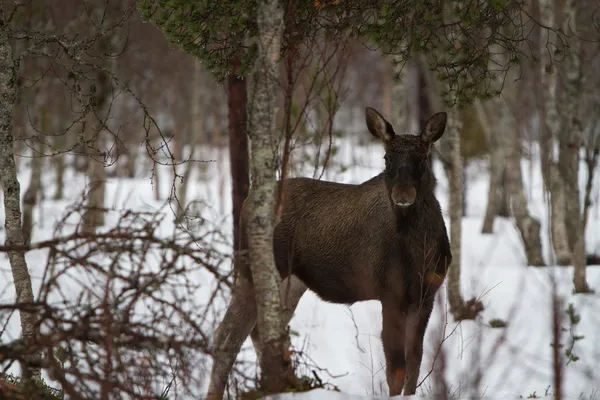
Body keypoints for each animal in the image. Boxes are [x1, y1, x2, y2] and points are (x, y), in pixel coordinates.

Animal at [207, 105, 450, 396]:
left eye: (423, 158)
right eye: (386, 157)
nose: (403, 193)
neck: (421, 249)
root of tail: (246, 202)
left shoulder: (426, 297)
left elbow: (415, 361)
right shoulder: (390, 294)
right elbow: (396, 368)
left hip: (291, 282)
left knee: (260, 332)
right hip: (255, 270)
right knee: (226, 336)